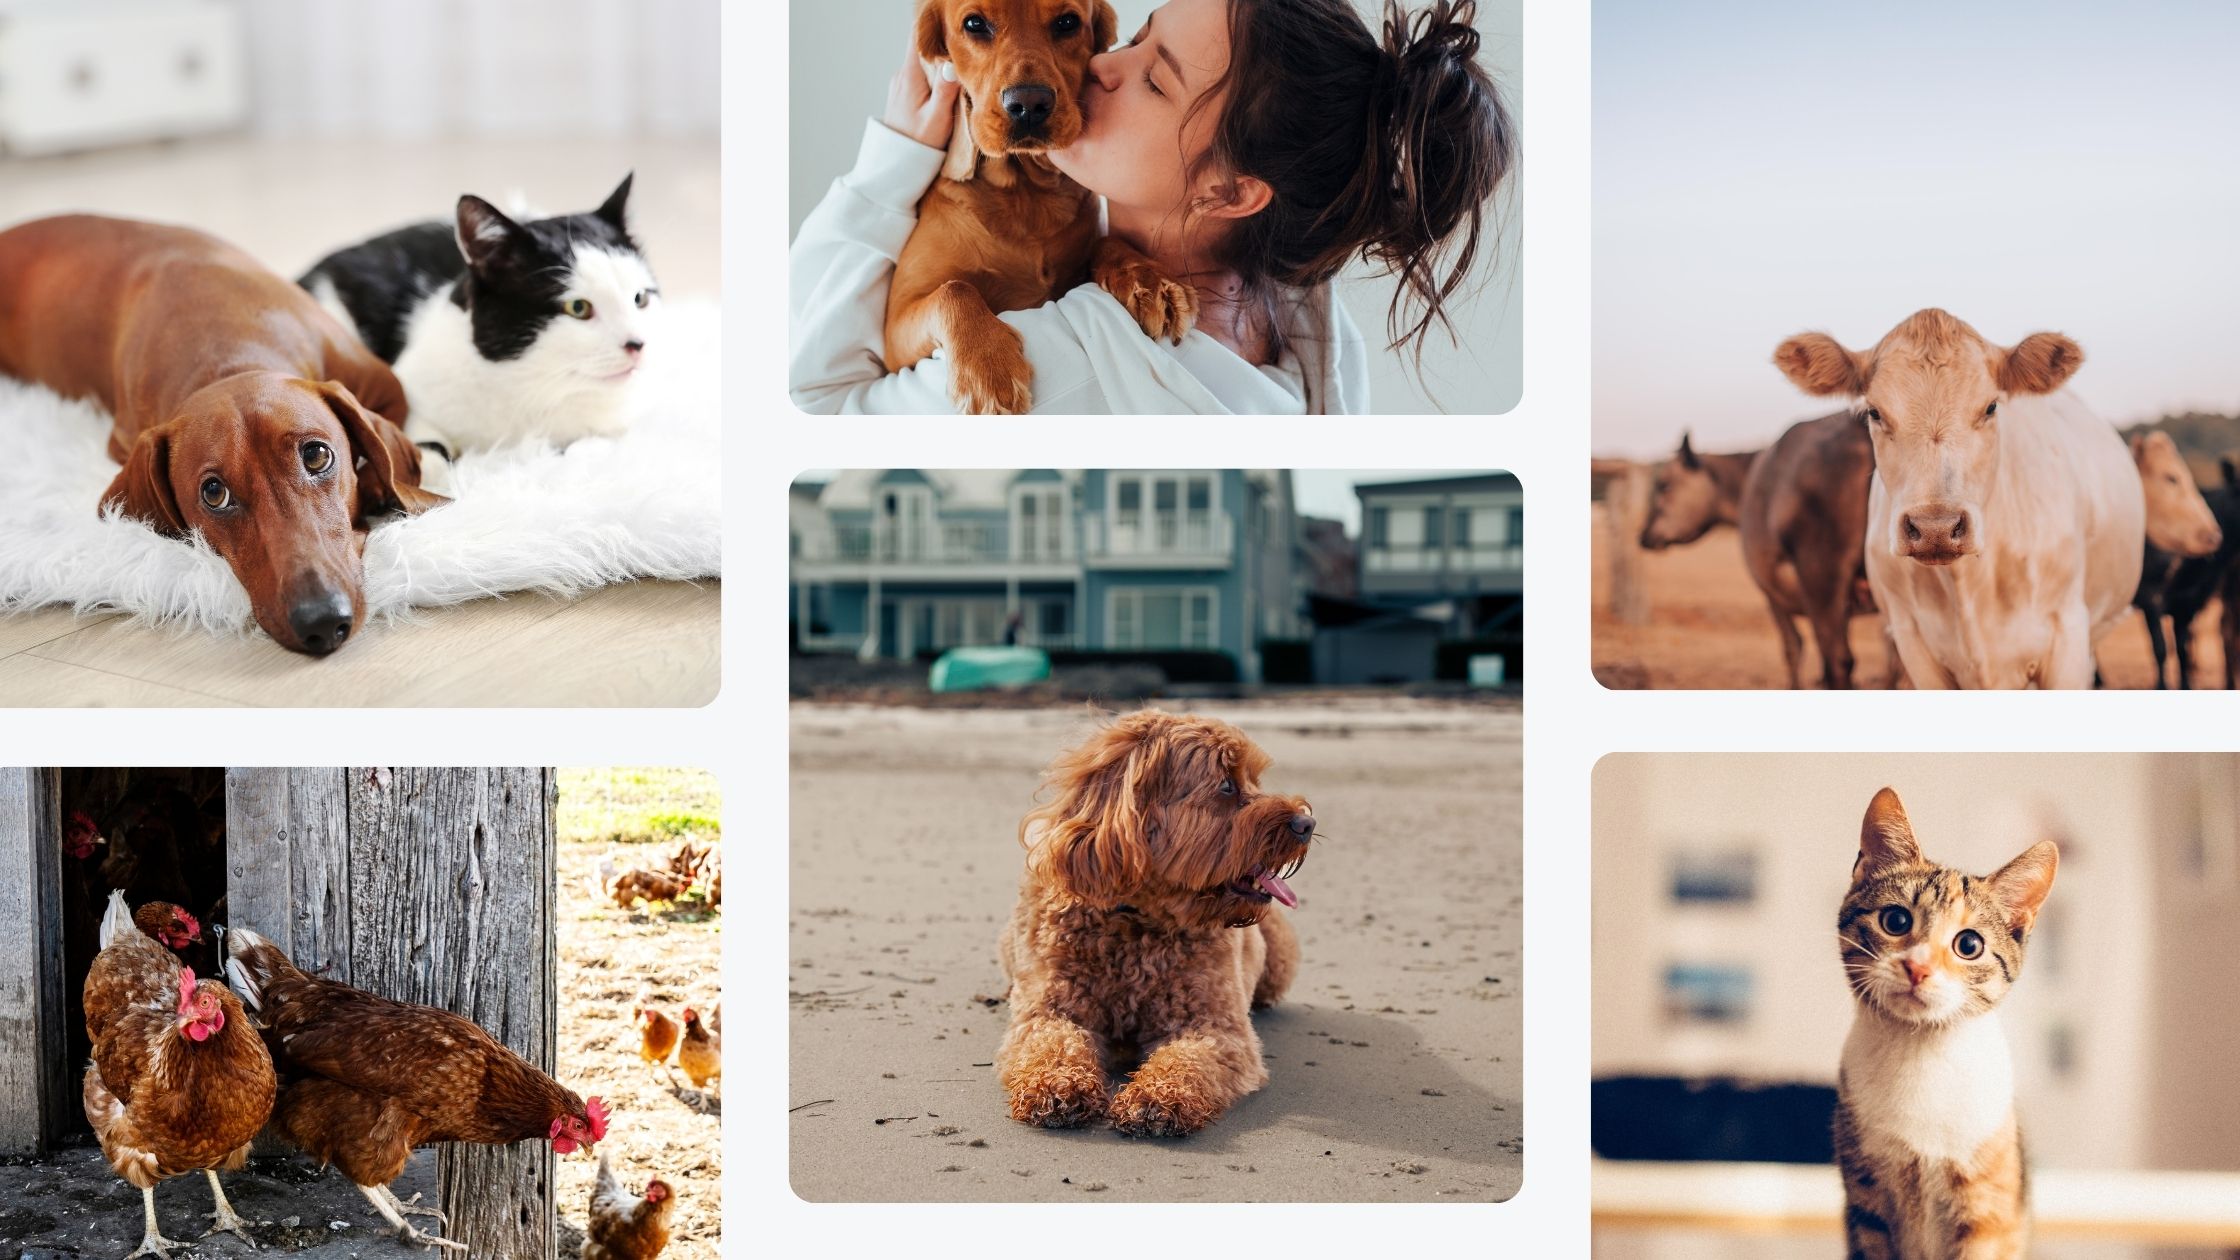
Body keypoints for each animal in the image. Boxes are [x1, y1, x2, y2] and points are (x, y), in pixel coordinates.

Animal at [999, 712, 1308, 1134]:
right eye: (1226, 785)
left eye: (1255, 781)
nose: (1306, 823)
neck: (1139, 918)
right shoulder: (1046, 1012)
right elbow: (1052, 1043)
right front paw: (1058, 1085)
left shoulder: (1217, 1029)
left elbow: (1187, 1058)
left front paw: (1156, 1096)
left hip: (1276, 963)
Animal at [1827, 784, 2051, 1255]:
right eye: (1895, 920)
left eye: (1969, 945)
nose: (1918, 968)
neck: (1920, 1049)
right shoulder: (1867, 1205)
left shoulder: (1988, 1213)